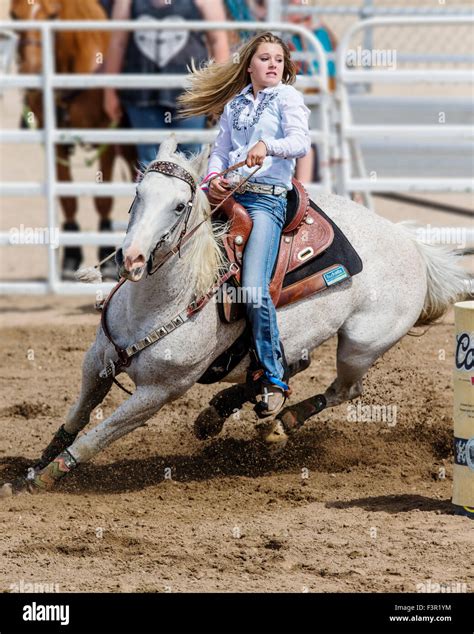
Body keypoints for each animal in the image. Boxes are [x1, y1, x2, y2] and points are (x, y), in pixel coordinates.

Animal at [0, 136, 466, 496]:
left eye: (180, 205)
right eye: (138, 194)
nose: (131, 257)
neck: (158, 304)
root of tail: (412, 242)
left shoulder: (157, 393)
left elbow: (97, 437)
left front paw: (43, 481)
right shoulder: (97, 361)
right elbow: (75, 418)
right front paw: (31, 469)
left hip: (361, 345)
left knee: (344, 390)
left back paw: (280, 425)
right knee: (289, 364)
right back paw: (220, 412)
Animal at [10, 0, 136, 278]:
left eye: (54, 15)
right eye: (13, 15)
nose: (30, 71)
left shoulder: (106, 136)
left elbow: (103, 199)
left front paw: (106, 259)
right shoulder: (55, 142)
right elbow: (67, 199)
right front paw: (71, 257)